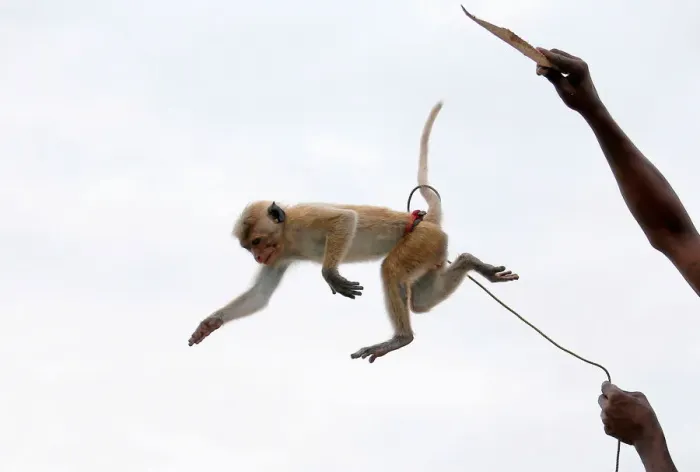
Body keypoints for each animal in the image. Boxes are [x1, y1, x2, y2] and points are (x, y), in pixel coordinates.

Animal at [187, 101, 519, 363]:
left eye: (257, 241)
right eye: (249, 247)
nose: (257, 257)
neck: (288, 235)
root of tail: (426, 221)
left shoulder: (304, 219)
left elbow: (345, 219)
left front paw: (330, 274)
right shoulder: (280, 256)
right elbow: (259, 296)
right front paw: (210, 323)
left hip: (421, 241)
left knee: (393, 270)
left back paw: (401, 338)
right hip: (434, 251)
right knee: (422, 299)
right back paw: (470, 261)